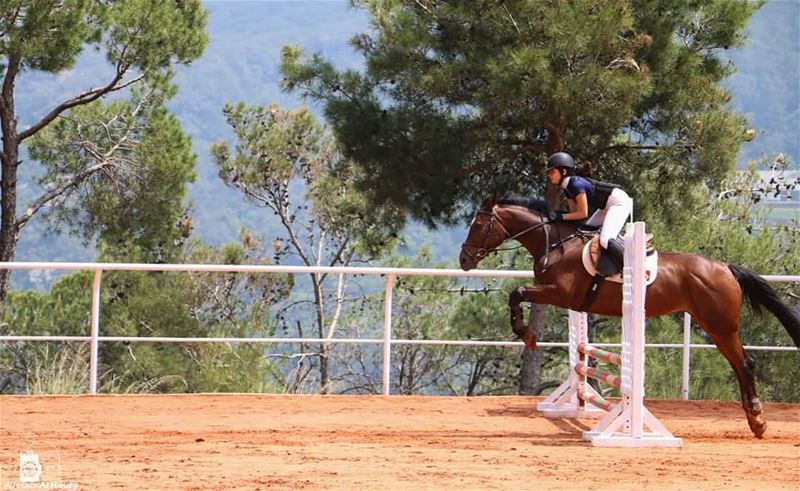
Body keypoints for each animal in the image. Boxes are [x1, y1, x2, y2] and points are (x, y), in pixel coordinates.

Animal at [460, 195, 800, 438]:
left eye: (478, 225)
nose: (464, 259)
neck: (555, 243)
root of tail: (726, 268)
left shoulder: (560, 294)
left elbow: (516, 292)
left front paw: (526, 334)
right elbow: (518, 295)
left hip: (720, 326)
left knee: (745, 364)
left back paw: (757, 418)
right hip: (715, 327)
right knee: (740, 365)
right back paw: (755, 421)